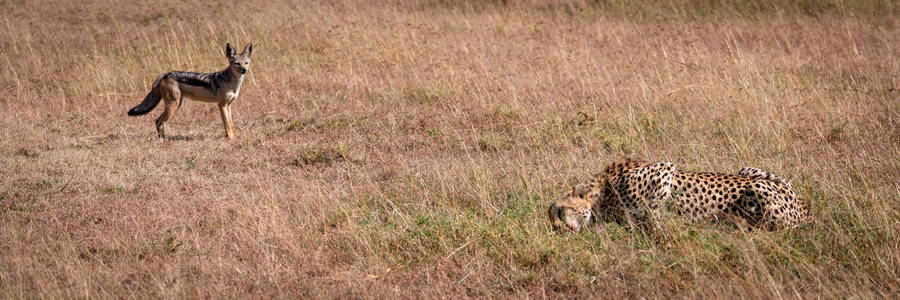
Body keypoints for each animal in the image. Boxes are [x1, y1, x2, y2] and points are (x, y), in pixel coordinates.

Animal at [544, 157, 812, 232]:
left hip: (759, 189)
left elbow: (652, 213)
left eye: (559, 211)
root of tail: (807, 210)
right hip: (748, 170)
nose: (559, 230)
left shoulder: (665, 169)